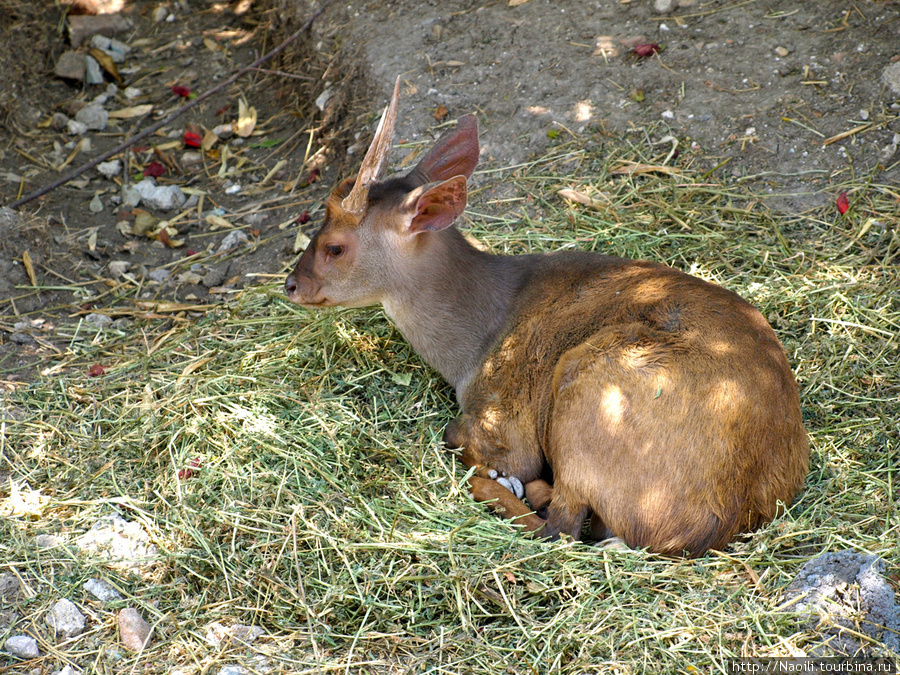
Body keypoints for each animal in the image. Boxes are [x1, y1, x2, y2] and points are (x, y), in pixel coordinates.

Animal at [286, 76, 808, 556]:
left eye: (335, 247)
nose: (292, 285)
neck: (474, 343)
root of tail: (709, 525)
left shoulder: (502, 419)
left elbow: (459, 436)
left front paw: (504, 476)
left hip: (590, 388)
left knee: (561, 528)